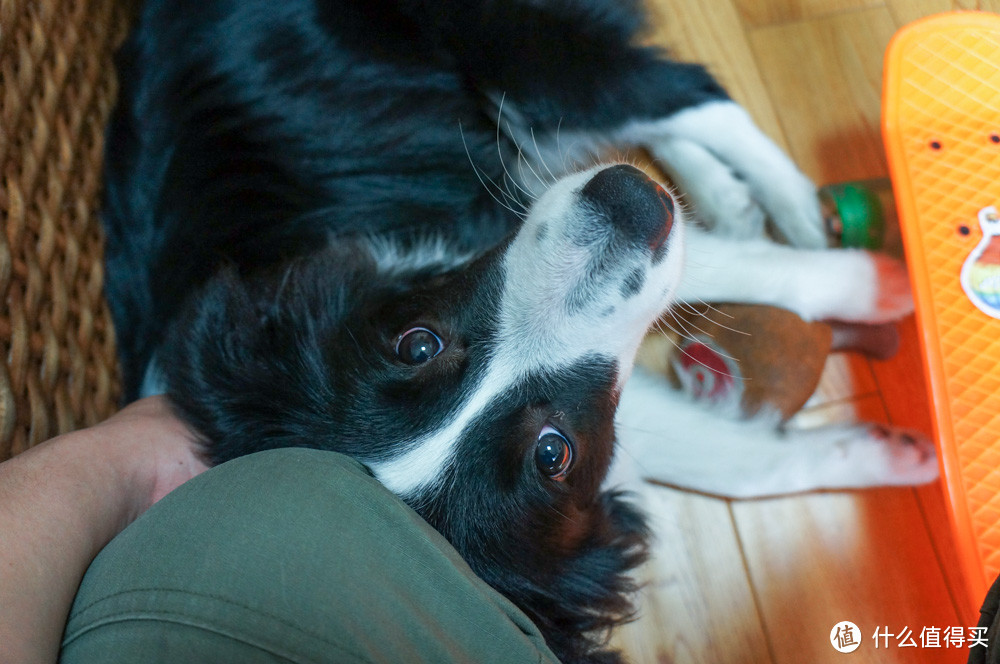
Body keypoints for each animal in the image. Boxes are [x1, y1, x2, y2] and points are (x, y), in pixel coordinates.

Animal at [105, 2, 940, 660]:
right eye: (551, 455)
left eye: (418, 341)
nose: (625, 203)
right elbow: (738, 461)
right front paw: (896, 455)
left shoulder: (458, 234)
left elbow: (738, 267)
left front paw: (878, 281)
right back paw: (720, 194)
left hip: (511, 44)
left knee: (678, 94)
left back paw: (784, 201)